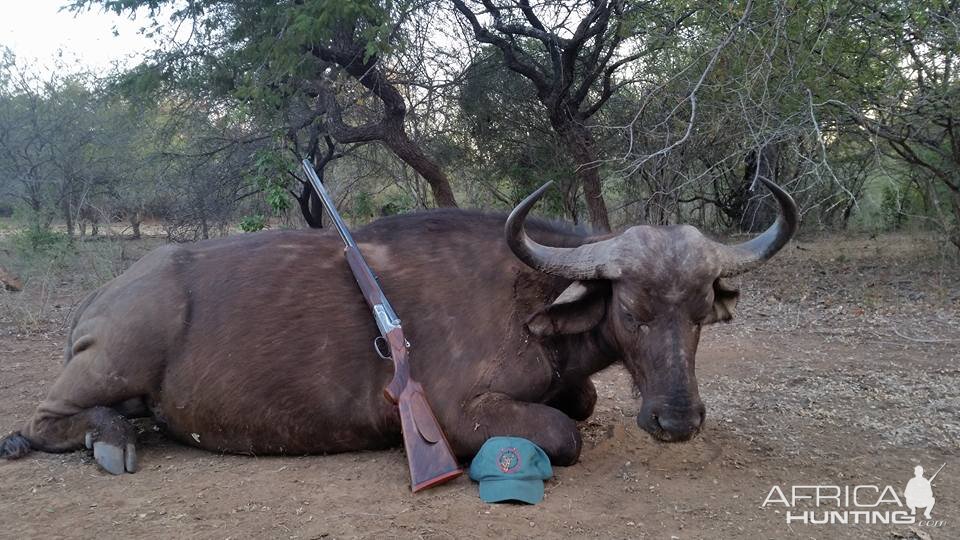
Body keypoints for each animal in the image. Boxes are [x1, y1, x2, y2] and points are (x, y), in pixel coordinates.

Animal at [0, 179, 796, 474]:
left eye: (701, 314)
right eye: (631, 311)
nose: (676, 419)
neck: (523, 297)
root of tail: (102, 298)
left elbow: (583, 401)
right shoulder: (461, 412)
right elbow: (563, 433)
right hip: (113, 362)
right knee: (43, 421)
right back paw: (109, 439)